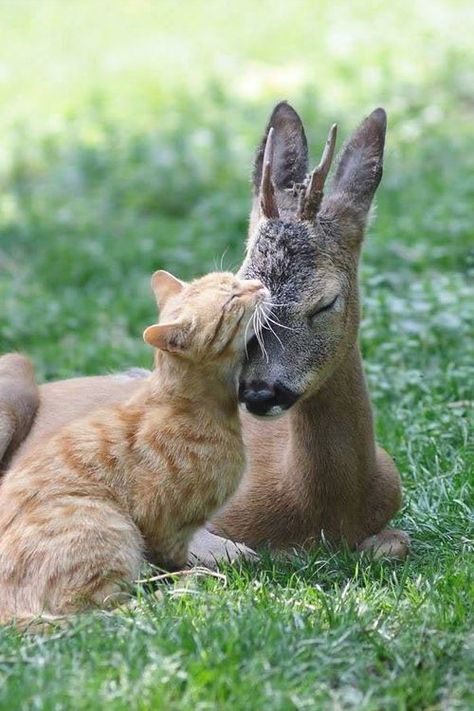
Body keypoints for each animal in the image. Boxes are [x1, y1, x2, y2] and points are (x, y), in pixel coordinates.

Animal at [0, 101, 410, 568]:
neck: (323, 507)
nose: (260, 392)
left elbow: (395, 543)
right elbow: (232, 553)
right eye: (245, 288)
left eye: (325, 304)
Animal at [0, 270, 266, 624]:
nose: (260, 285)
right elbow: (174, 555)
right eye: (232, 299)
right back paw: (180, 590)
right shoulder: (162, 524)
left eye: (234, 279)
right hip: (108, 523)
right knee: (100, 611)